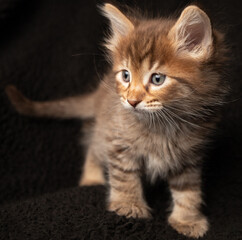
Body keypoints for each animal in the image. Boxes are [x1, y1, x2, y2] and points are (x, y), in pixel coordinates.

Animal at [6, 3, 229, 238]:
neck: (163, 124)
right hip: (102, 132)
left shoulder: (189, 156)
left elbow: (188, 190)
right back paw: (91, 179)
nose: (132, 101)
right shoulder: (118, 141)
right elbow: (125, 177)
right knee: (93, 149)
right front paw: (128, 205)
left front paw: (187, 220)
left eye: (157, 79)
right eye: (126, 75)